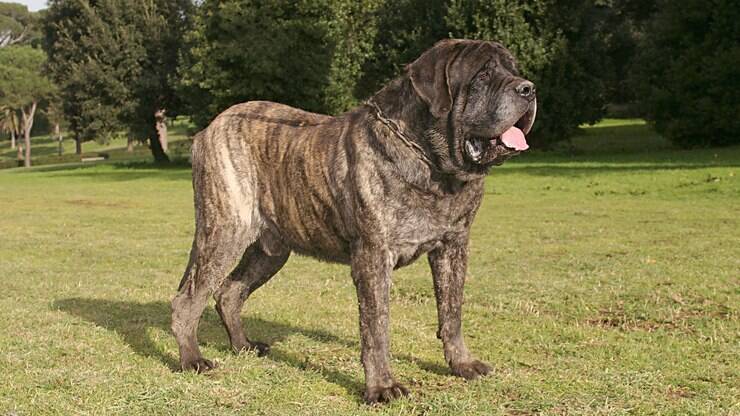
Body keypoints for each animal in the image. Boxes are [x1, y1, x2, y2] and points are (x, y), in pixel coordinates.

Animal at [171, 39, 536, 404]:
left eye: (513, 70)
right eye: (482, 75)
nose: (529, 89)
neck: (433, 165)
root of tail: (209, 127)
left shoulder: (453, 247)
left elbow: (452, 312)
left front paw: (462, 364)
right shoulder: (374, 255)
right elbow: (376, 326)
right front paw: (382, 386)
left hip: (270, 250)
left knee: (230, 292)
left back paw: (243, 345)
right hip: (225, 232)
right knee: (188, 299)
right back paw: (193, 359)